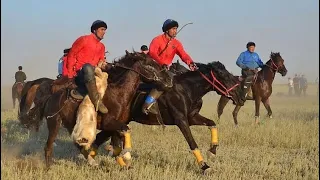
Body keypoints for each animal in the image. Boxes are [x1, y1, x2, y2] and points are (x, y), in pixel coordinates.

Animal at [30, 51, 174, 168]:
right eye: (150, 65)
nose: (168, 80)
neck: (118, 93)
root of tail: (51, 97)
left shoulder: (116, 125)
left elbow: (117, 143)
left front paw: (124, 163)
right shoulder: (108, 123)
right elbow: (124, 133)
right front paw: (127, 156)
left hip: (70, 125)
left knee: (78, 145)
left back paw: (92, 161)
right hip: (54, 123)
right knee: (48, 147)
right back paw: (49, 168)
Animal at [91, 60, 244, 173]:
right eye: (223, 76)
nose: (240, 97)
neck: (187, 89)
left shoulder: (192, 117)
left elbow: (212, 123)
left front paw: (212, 150)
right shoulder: (181, 120)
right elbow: (192, 142)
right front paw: (204, 166)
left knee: (102, 139)